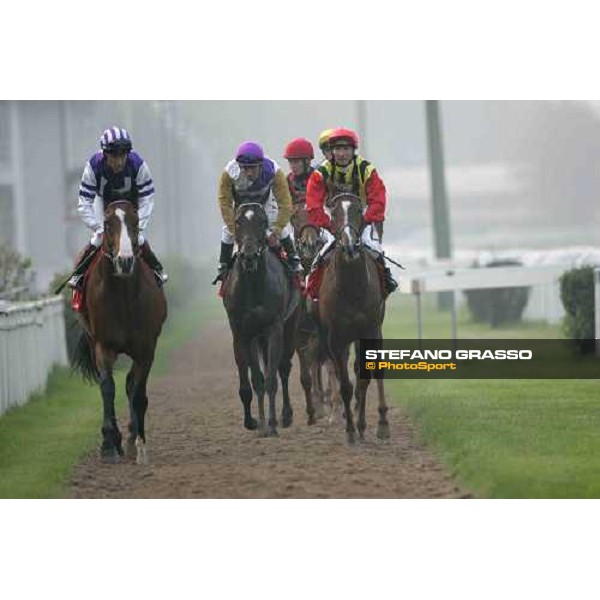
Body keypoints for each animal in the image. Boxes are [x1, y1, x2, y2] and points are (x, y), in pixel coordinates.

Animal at [72, 202, 168, 464]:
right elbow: (108, 388)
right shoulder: (103, 346)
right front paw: (109, 443)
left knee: (132, 385)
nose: (124, 261)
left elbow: (136, 392)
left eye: (135, 222)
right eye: (106, 224)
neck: (124, 296)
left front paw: (135, 442)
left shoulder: (146, 349)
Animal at [223, 202, 300, 436]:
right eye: (238, 221)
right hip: (258, 337)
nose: (248, 256)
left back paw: (285, 415)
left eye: (263, 222)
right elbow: (252, 381)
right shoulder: (242, 333)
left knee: (283, 368)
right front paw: (255, 422)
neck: (253, 285)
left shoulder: (274, 328)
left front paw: (272, 424)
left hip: (289, 326)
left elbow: (271, 379)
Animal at [318, 195, 390, 442]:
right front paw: (350, 429)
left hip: (373, 332)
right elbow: (345, 384)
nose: (350, 245)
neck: (351, 289)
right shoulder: (336, 338)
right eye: (334, 213)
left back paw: (380, 422)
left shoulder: (368, 331)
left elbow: (365, 377)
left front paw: (362, 425)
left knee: (372, 372)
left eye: (359, 210)